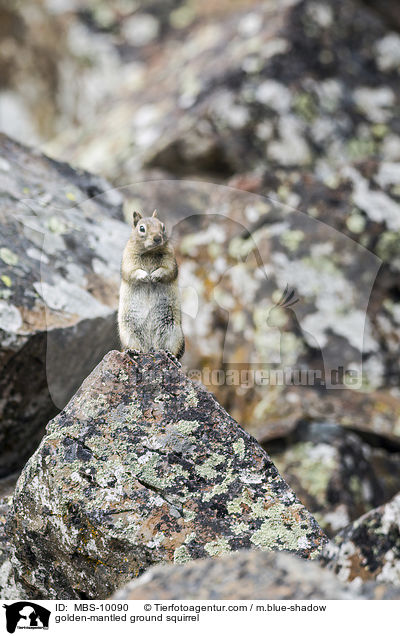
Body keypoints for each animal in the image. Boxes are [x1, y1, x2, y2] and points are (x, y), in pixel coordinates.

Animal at [115, 209, 184, 358]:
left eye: (163, 227)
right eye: (141, 228)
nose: (157, 238)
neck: (149, 252)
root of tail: (150, 347)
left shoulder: (170, 260)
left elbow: (167, 270)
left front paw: (154, 275)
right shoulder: (128, 260)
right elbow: (132, 271)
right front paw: (146, 276)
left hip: (174, 333)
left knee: (172, 349)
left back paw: (170, 355)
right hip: (128, 333)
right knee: (135, 346)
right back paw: (133, 351)